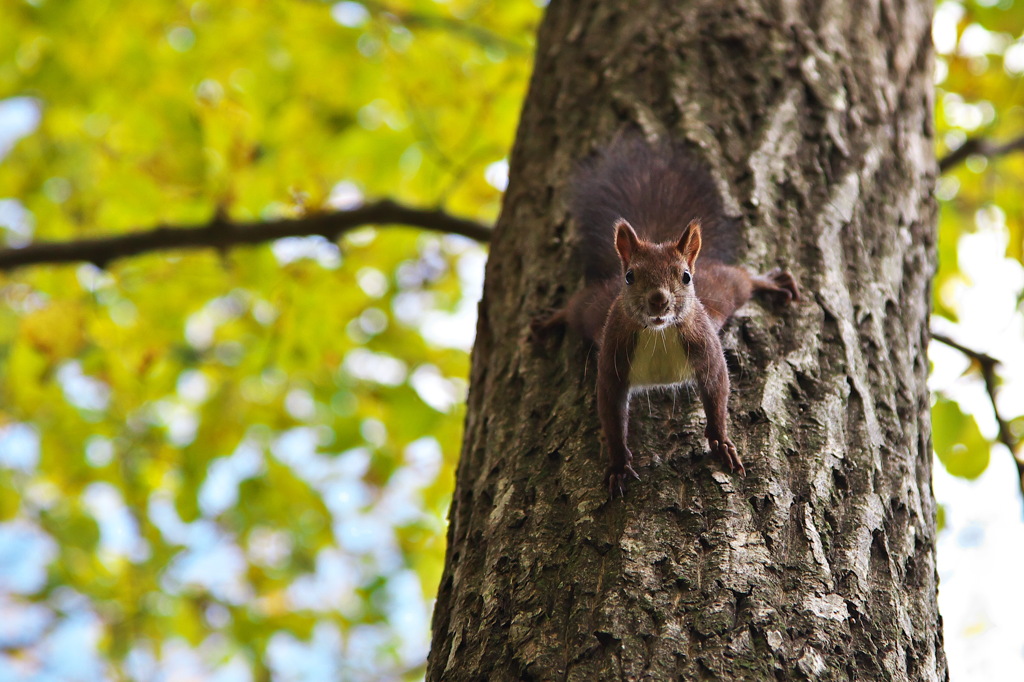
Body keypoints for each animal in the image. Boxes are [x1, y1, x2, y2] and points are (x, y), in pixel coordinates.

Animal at [536, 135, 798, 497]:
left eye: (685, 276)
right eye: (630, 276)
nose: (659, 300)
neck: (658, 333)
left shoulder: (705, 346)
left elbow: (717, 388)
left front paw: (721, 442)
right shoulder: (614, 357)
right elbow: (611, 411)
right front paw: (618, 463)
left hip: (721, 290)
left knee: (742, 278)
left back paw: (769, 282)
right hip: (592, 311)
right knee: (574, 307)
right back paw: (551, 320)